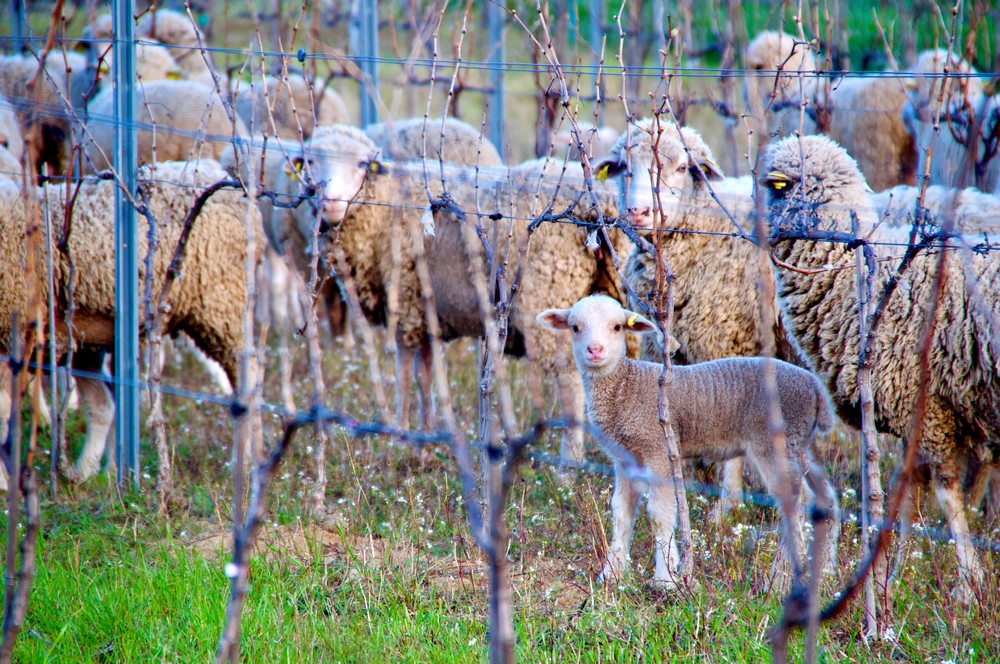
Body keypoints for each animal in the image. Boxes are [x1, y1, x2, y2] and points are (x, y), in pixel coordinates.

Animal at [0, 158, 262, 486]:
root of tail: (219, 174)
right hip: (86, 336)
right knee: (102, 405)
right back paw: (92, 473)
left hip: (221, 305)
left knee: (247, 378)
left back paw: (245, 465)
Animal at [290, 123, 628, 462]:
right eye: (311, 162)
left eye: (361, 164)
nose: (331, 202)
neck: (383, 210)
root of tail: (599, 206)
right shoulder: (425, 313)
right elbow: (424, 376)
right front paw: (425, 439)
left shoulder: (405, 304)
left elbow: (403, 376)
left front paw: (398, 436)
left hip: (551, 292)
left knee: (570, 379)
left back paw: (569, 460)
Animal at [536, 294, 840, 588]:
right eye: (575, 328)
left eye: (618, 327)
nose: (595, 350)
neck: (626, 386)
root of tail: (815, 388)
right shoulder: (625, 460)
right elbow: (621, 511)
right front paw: (612, 573)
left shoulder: (658, 450)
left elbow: (660, 514)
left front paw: (666, 578)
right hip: (800, 444)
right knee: (824, 499)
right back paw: (825, 571)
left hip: (774, 442)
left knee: (795, 504)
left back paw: (781, 580)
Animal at [760, 132, 996, 600]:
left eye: (774, 188)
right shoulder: (917, 415)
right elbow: (909, 494)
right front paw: (895, 573)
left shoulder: (925, 406)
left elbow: (945, 494)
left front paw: (967, 583)